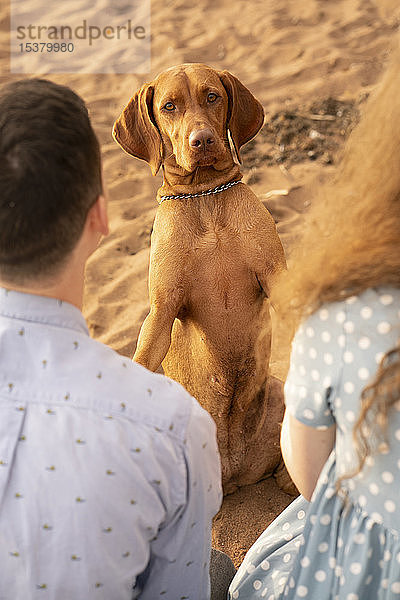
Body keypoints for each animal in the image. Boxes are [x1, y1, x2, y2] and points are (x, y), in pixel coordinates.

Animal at [114, 63, 292, 494]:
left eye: (212, 96)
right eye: (169, 106)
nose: (203, 140)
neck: (204, 196)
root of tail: (234, 473)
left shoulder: (275, 278)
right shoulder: (162, 310)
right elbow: (143, 357)